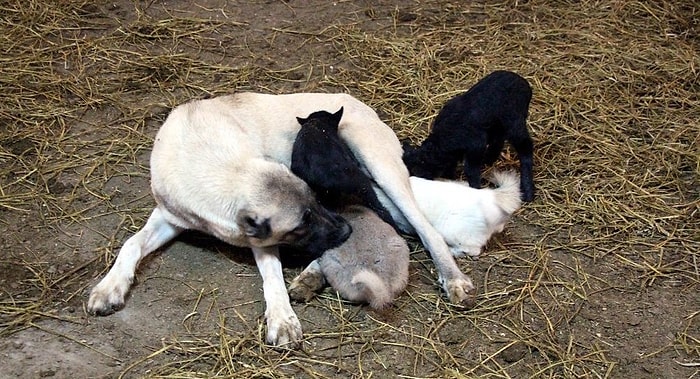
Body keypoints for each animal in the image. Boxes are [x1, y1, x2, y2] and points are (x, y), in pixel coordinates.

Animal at [85, 92, 474, 348]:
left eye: (313, 204)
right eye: (301, 223)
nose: (346, 231)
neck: (215, 164)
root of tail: (358, 102)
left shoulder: (263, 236)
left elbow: (271, 275)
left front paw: (282, 320)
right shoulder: (170, 216)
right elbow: (130, 243)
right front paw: (109, 287)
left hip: (382, 167)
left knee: (424, 229)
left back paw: (452, 279)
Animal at [400, 70, 536, 203]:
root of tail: (523, 82)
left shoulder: (475, 146)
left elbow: (470, 170)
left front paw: (474, 187)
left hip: (515, 122)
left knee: (526, 149)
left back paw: (527, 191)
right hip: (497, 125)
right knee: (499, 139)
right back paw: (488, 160)